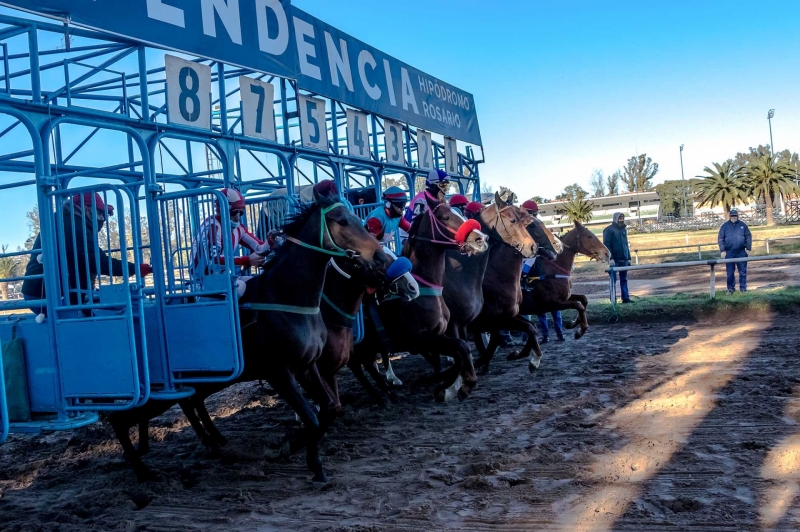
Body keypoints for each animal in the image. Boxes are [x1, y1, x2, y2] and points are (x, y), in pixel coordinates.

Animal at [110, 184, 390, 482]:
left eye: (358, 218)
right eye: (341, 221)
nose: (381, 257)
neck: (289, 297)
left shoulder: (308, 365)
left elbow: (329, 410)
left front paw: (312, 462)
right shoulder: (279, 372)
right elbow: (312, 418)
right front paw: (288, 448)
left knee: (189, 402)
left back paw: (214, 443)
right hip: (157, 391)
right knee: (119, 419)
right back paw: (144, 471)